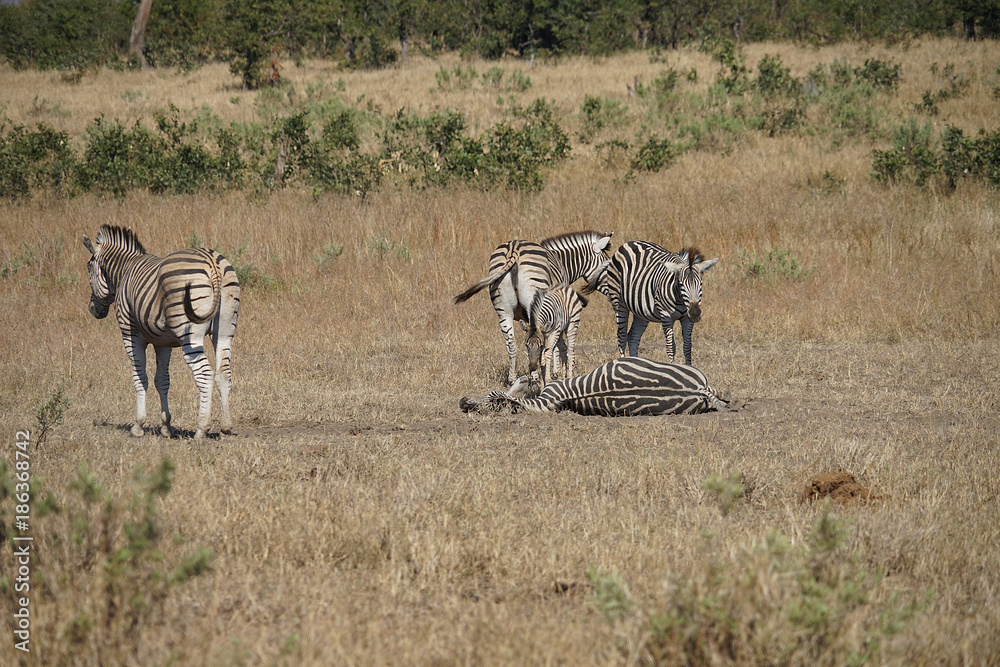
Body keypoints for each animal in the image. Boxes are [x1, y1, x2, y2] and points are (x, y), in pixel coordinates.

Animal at [83, 225, 240, 439]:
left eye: (89, 268)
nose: (93, 310)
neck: (124, 270)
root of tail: (212, 262)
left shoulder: (130, 335)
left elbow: (140, 378)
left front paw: (138, 425)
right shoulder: (163, 342)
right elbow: (162, 380)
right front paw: (166, 426)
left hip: (189, 333)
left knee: (205, 374)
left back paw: (202, 428)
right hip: (225, 330)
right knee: (223, 373)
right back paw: (226, 426)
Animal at [454, 230, 614, 385]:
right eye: (608, 267)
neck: (563, 262)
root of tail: (513, 249)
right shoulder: (557, 307)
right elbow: (555, 343)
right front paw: (555, 371)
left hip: (503, 310)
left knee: (511, 343)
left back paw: (512, 380)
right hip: (534, 301)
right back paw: (535, 377)